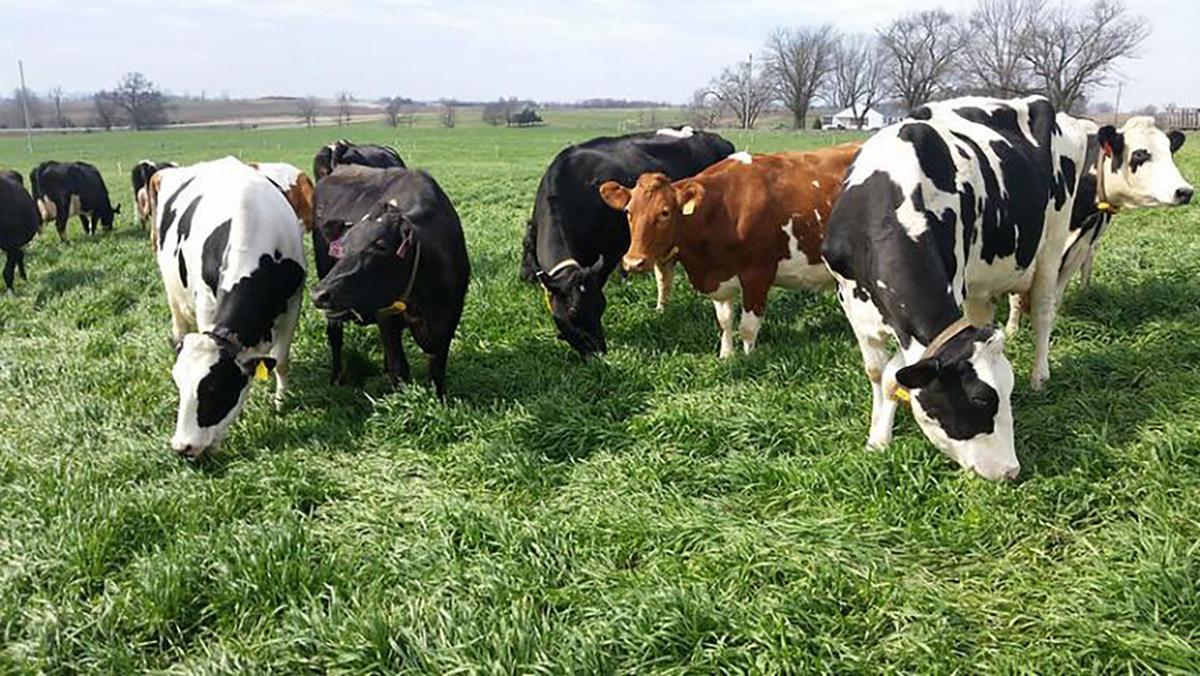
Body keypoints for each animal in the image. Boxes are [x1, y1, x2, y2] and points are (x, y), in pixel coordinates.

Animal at [154, 157, 306, 458]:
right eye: (178, 384)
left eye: (214, 388)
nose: (183, 447)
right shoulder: (205, 303)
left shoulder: (294, 302)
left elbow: (281, 360)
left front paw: (281, 401)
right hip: (172, 290)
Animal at [310, 165, 469, 398]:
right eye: (342, 247)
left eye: (381, 245)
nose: (319, 294)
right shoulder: (387, 318)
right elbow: (399, 368)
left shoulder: (448, 320)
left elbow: (437, 370)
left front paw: (440, 401)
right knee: (335, 336)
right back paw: (336, 378)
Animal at [598, 144, 862, 358]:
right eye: (628, 211)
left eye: (665, 212)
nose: (633, 262)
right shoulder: (719, 276)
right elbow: (724, 321)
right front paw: (726, 356)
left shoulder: (758, 275)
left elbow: (748, 327)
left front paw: (748, 359)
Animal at [821, 96, 1090, 482]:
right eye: (982, 399)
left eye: (1008, 392)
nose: (1011, 471)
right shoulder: (851, 301)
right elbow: (877, 373)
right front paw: (878, 439)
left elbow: (892, 375)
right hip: (980, 280)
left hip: (1053, 241)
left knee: (1042, 311)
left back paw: (1040, 375)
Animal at [1005, 117, 1192, 335]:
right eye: (1139, 154)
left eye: (1170, 152)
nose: (1185, 191)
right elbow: (1016, 297)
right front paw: (1012, 331)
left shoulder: (1079, 248)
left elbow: (1055, 297)